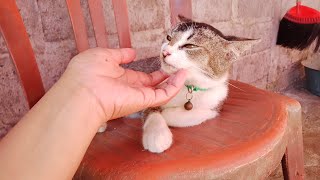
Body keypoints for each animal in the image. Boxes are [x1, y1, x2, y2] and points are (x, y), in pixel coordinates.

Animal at [141, 15, 258, 153]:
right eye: (168, 38)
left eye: (190, 46)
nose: (164, 51)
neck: (189, 85)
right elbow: (150, 108)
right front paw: (157, 135)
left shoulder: (216, 99)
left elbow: (202, 114)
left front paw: (167, 114)